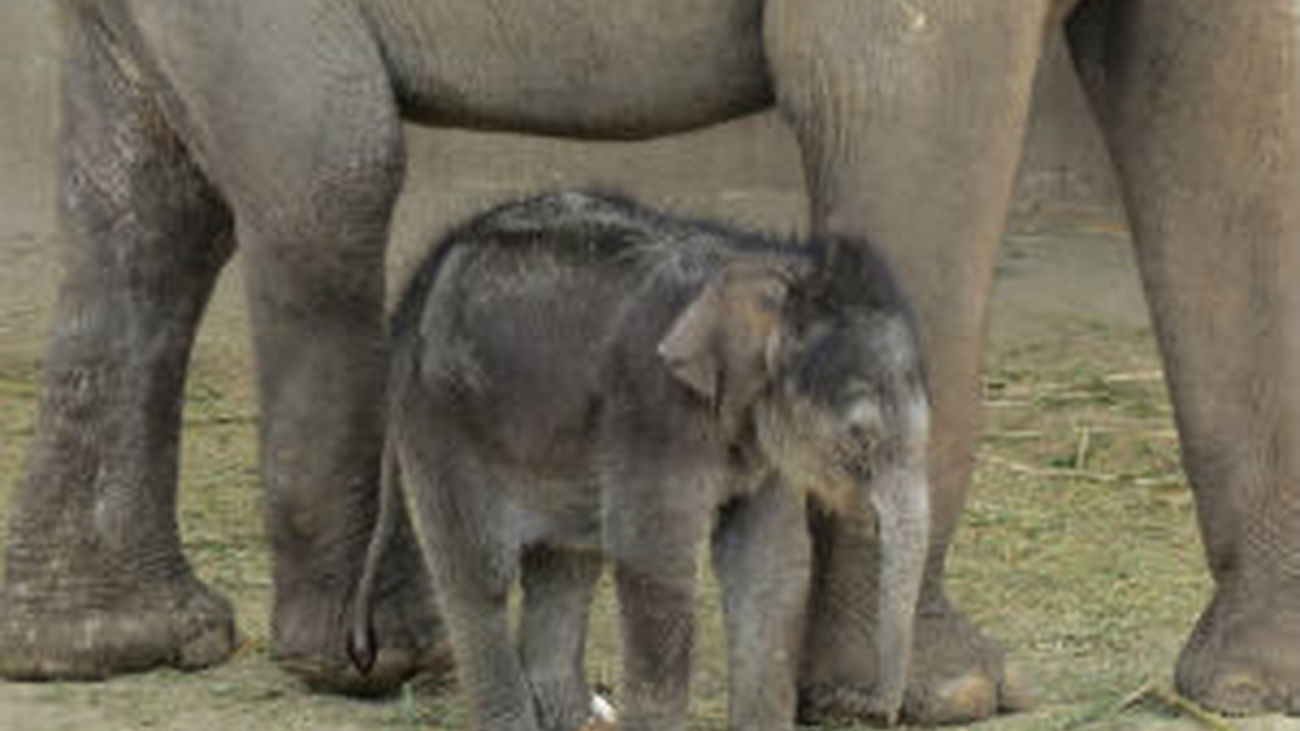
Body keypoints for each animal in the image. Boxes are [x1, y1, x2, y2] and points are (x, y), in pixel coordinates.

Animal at [347, 191, 932, 731]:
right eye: (859, 434)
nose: (871, 708)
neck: (768, 265)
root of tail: (413, 291)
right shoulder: (653, 411)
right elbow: (654, 564)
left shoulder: (757, 436)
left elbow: (770, 565)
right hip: (441, 422)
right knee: (480, 577)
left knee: (567, 563)